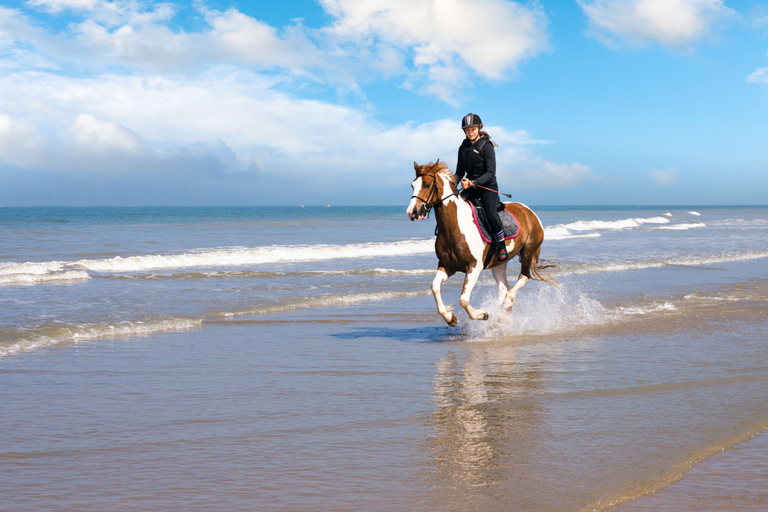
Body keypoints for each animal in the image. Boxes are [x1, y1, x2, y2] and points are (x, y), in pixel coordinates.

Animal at [404, 160, 556, 326]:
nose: (412, 212)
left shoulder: (474, 267)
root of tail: (530, 212)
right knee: (503, 288)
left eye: (426, 184)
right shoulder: (447, 266)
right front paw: (450, 318)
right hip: (499, 262)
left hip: (528, 251)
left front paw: (481, 314)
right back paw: (498, 316)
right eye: (412, 185)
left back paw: (507, 304)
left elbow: (463, 299)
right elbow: (435, 287)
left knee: (523, 277)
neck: (454, 226)